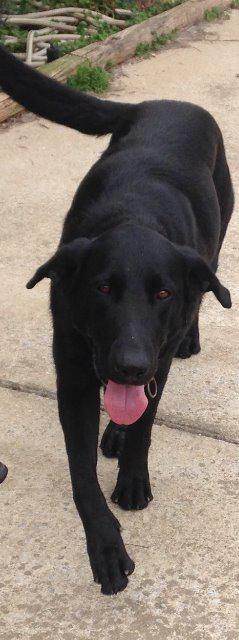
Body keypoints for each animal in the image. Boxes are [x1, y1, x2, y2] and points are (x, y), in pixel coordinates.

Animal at [0, 47, 232, 596]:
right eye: (102, 288)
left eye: (163, 292)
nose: (129, 365)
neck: (134, 216)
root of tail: (159, 103)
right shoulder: (74, 372)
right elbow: (81, 473)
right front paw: (105, 547)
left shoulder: (156, 360)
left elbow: (145, 425)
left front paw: (132, 478)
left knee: (206, 285)